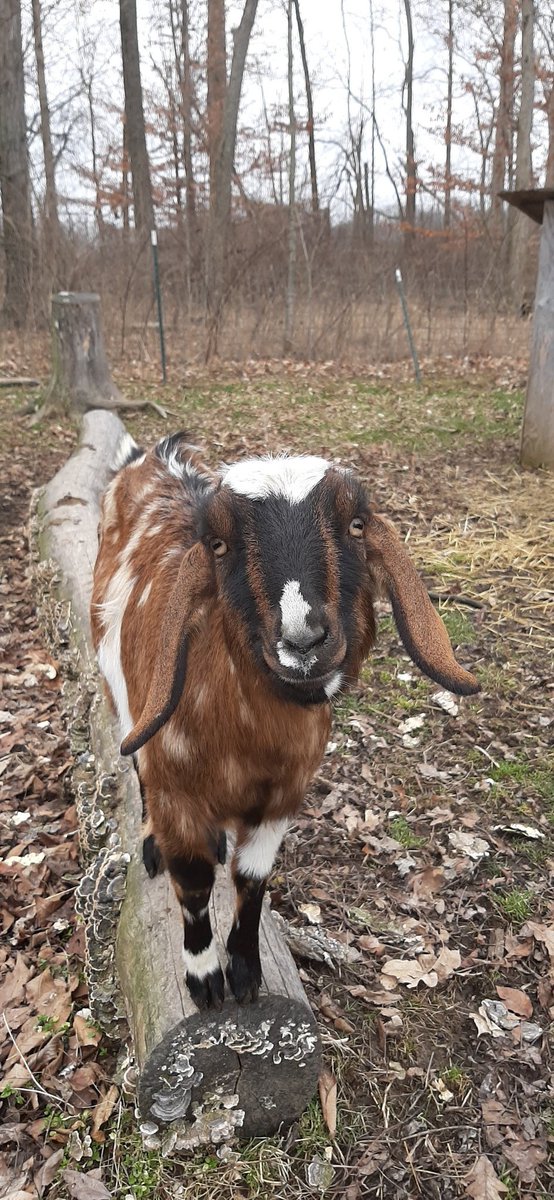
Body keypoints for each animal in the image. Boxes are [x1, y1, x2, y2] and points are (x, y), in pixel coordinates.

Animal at [91, 432, 479, 1010]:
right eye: (219, 545)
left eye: (356, 525)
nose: (304, 640)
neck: (243, 739)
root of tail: (150, 454)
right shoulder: (177, 790)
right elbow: (193, 883)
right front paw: (204, 980)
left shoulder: (282, 797)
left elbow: (252, 879)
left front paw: (246, 972)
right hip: (124, 702)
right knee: (132, 757)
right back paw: (150, 842)